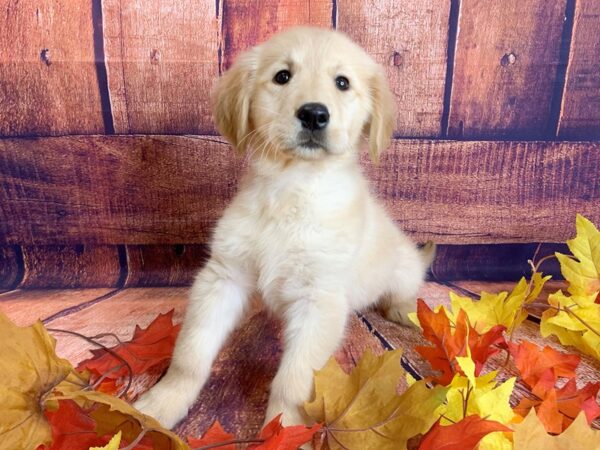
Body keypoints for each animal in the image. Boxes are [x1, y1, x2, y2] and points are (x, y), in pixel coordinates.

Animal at [135, 25, 434, 428]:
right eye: (282, 76)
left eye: (342, 82)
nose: (313, 114)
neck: (292, 188)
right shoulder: (223, 278)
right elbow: (190, 355)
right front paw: (163, 403)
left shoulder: (318, 300)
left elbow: (293, 381)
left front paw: (282, 430)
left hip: (402, 268)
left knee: (405, 290)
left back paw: (403, 312)